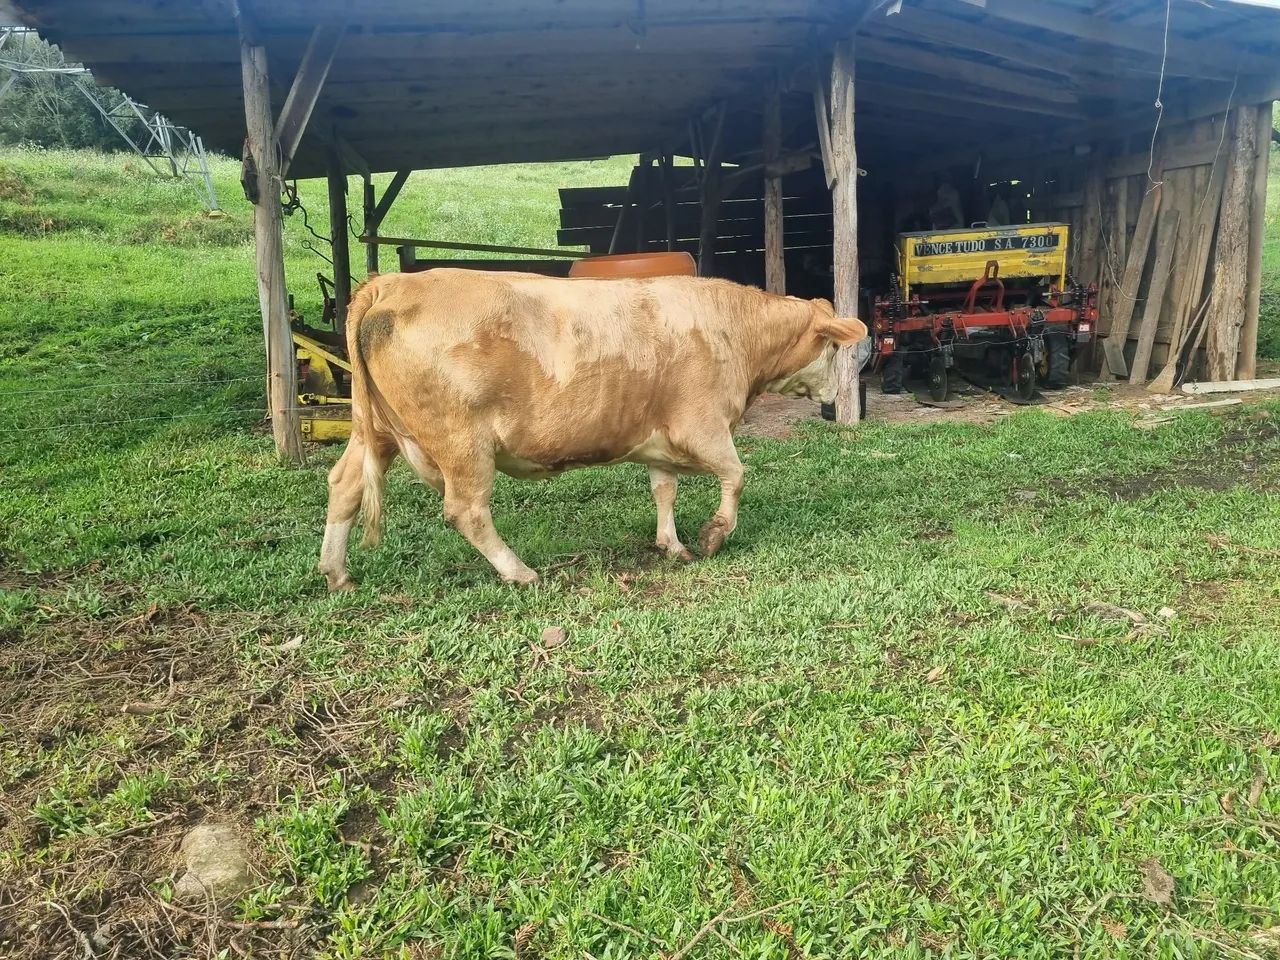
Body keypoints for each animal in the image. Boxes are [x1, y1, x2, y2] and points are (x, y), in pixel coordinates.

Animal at [318, 269, 866, 590]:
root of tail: (392, 283)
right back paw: (520, 572)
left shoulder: (659, 438)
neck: (734, 329)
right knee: (466, 510)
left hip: (375, 432)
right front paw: (713, 535)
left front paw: (671, 544)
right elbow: (736, 475)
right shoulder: (702, 425)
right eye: (833, 347)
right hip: (462, 442)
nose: (833, 400)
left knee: (344, 485)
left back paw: (337, 573)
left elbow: (663, 490)